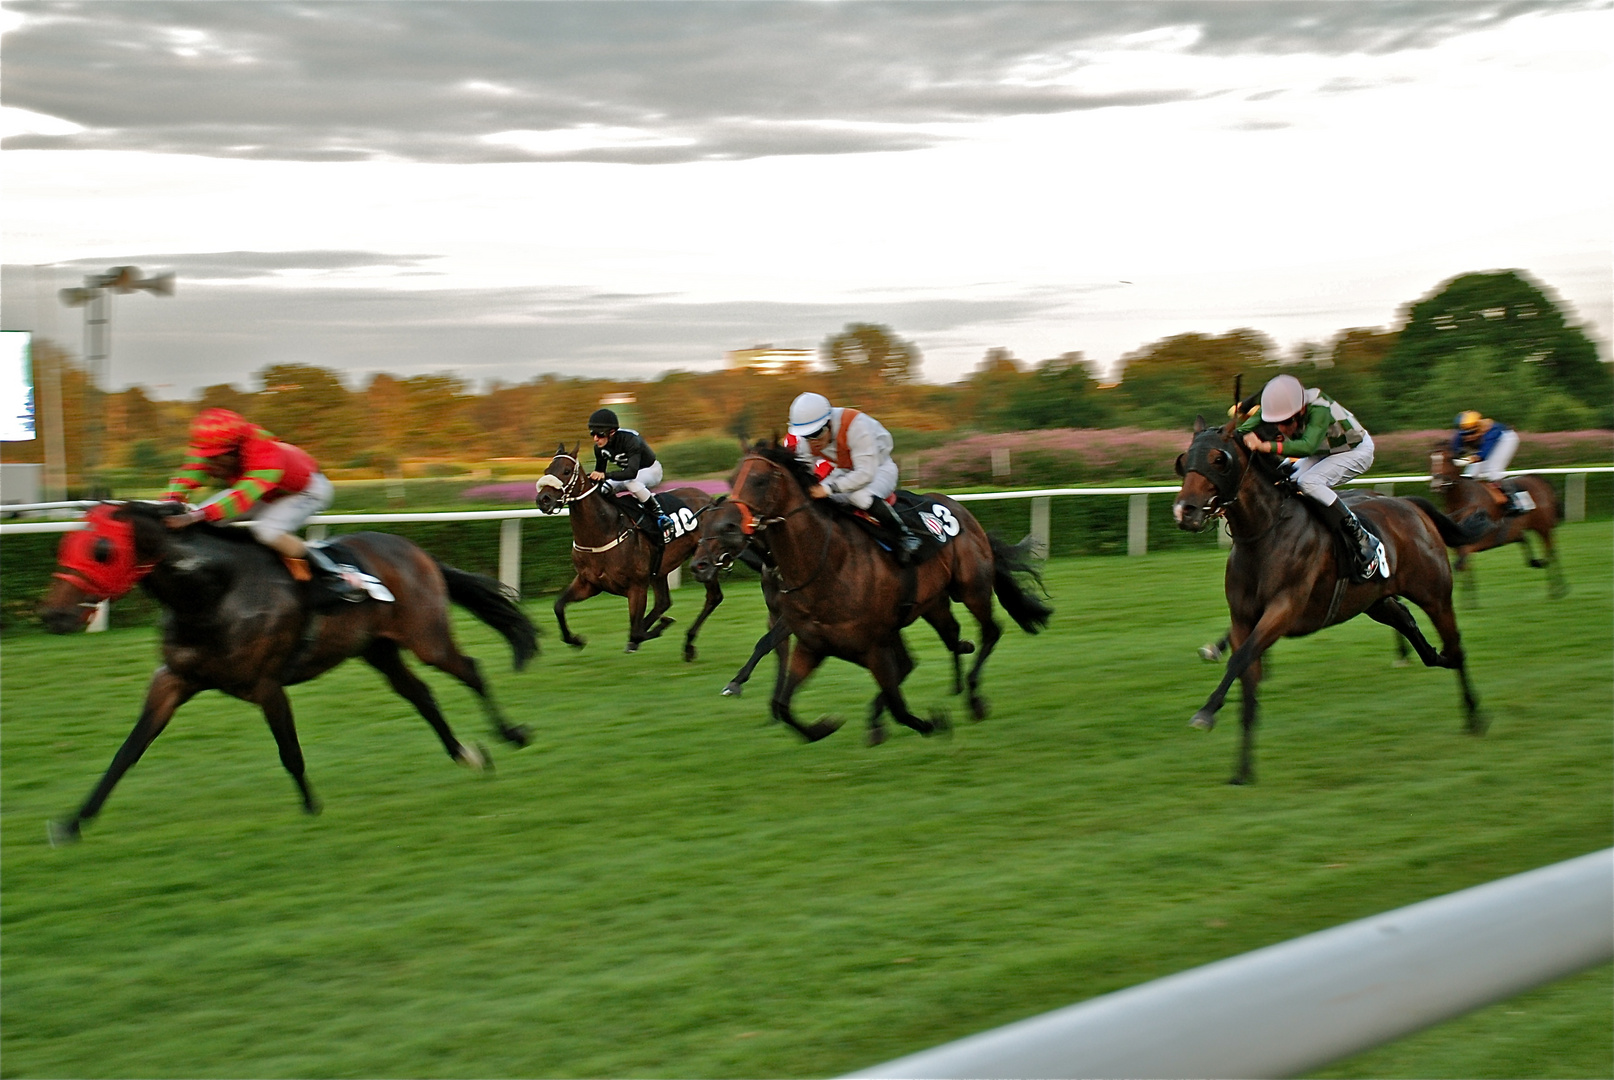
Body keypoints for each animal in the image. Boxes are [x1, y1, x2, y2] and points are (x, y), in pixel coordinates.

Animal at [37, 497, 539, 839]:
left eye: (101, 549)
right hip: (377, 649)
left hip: (426, 637)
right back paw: (466, 754)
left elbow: (289, 751)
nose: (53, 615)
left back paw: (511, 734)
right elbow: (129, 750)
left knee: (469, 669)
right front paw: (73, 822)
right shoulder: (174, 679)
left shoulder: (266, 683)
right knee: (421, 694)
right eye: (64, 544)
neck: (211, 591)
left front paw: (311, 808)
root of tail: (414, 550)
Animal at [532, 439, 723, 658]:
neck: (604, 530)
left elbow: (637, 631)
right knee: (663, 602)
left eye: (566, 470)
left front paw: (658, 627)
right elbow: (558, 605)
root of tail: (710, 499)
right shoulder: (589, 583)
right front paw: (576, 640)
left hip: (704, 561)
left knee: (713, 597)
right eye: (547, 469)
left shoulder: (636, 586)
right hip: (659, 569)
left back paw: (688, 644)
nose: (543, 499)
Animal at [726, 439, 1052, 742]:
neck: (827, 562)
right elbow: (784, 705)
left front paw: (934, 723)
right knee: (949, 637)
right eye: (732, 479)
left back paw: (972, 696)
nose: (730, 525)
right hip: (932, 603)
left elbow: (899, 704)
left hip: (971, 589)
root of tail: (962, 510)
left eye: (759, 479)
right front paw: (823, 727)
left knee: (990, 631)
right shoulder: (812, 646)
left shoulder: (874, 646)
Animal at [1174, 413, 1484, 784]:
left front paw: (1205, 713)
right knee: (1410, 623)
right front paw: (1242, 771)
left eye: (1219, 460)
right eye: (1184, 461)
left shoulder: (1283, 610)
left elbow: (1240, 659)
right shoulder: (1242, 619)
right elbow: (1248, 682)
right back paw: (1436, 657)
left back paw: (1475, 715)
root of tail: (1411, 504)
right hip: (1375, 601)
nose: (1185, 511)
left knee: (1457, 643)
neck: (1264, 532)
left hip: (1434, 593)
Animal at [1433, 445, 1568, 597]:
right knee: (1534, 545)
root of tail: (1539, 479)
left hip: (1543, 527)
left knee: (1551, 551)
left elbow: (1459, 566)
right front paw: (1469, 599)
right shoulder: (1458, 546)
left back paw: (1558, 589)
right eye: (1431, 460)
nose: (1436, 483)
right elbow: (1464, 568)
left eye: (1448, 459)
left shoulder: (1475, 542)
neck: (1462, 499)